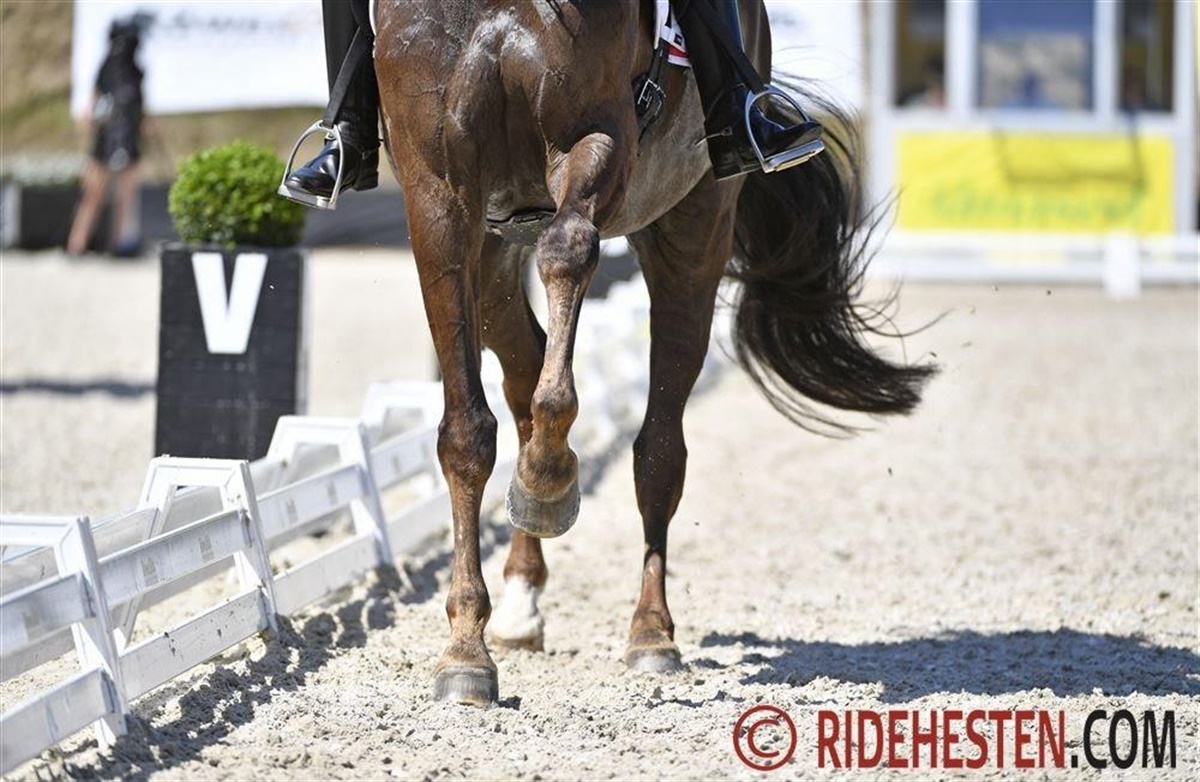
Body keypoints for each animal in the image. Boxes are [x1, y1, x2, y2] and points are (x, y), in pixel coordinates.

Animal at [372, 0, 935, 704]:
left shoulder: (596, 136)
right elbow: (466, 434)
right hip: (497, 249)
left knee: (660, 445)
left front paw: (548, 481)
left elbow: (569, 249)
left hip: (693, 227)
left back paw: (649, 634)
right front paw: (465, 653)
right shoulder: (439, 190)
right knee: (524, 374)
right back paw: (520, 600)